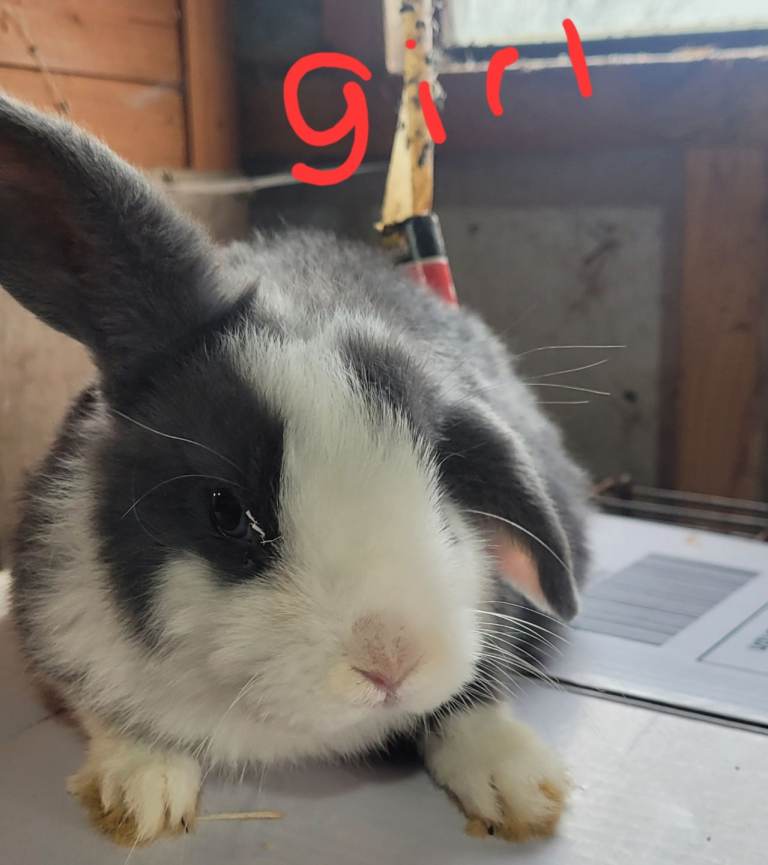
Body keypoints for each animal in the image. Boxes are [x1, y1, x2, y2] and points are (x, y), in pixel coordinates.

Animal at [0, 93, 590, 846]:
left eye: (442, 492)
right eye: (227, 511)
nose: (391, 662)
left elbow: (474, 699)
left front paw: (518, 788)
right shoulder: (56, 614)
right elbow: (104, 710)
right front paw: (139, 791)